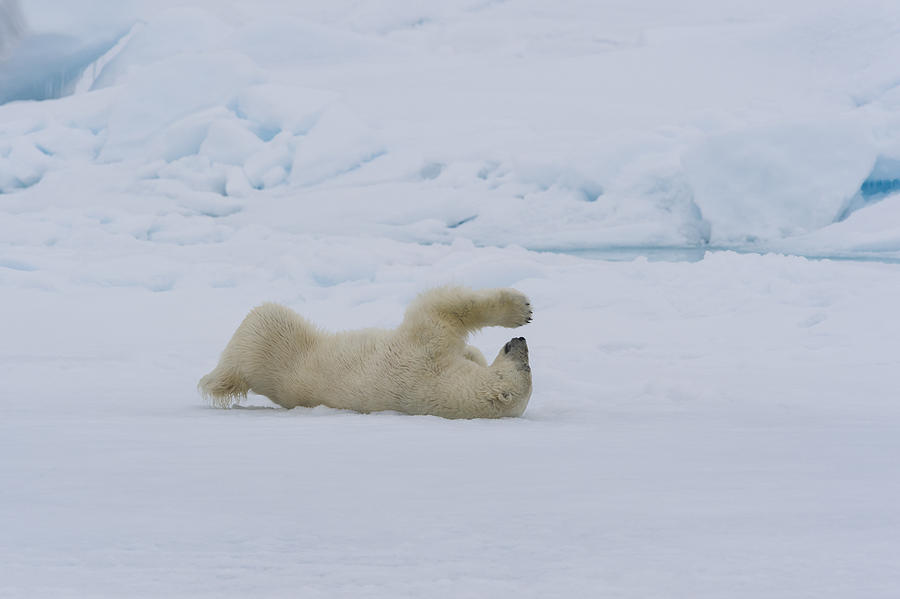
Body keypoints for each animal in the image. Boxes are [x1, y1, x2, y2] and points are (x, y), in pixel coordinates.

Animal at [198, 284, 536, 418]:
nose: (521, 341)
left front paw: (520, 309)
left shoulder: (424, 355)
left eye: (526, 365)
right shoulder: (429, 352)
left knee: (261, 322)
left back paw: (214, 381)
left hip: (277, 345)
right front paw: (520, 312)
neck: (443, 387)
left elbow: (441, 308)